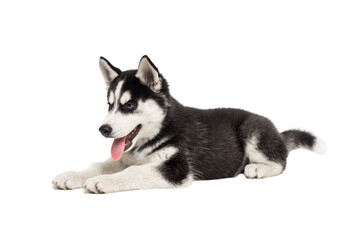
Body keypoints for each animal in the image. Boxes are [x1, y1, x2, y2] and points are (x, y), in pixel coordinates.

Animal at [52, 55, 326, 193]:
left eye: (129, 105)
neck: (159, 131)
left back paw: (258, 168)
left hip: (253, 130)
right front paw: (72, 175)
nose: (103, 130)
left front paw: (102, 182)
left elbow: (133, 172)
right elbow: (99, 164)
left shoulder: (177, 168)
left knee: (281, 162)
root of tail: (277, 132)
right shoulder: (126, 156)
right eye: (109, 105)